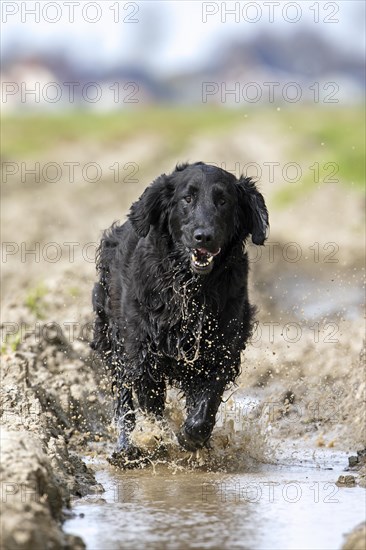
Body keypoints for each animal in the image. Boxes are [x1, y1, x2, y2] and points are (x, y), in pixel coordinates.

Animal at [91, 162, 268, 464]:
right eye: (187, 198)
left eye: (223, 201)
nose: (204, 236)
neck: (189, 287)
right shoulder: (142, 354)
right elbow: (151, 407)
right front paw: (157, 440)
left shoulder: (221, 350)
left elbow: (205, 407)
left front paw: (193, 438)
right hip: (112, 338)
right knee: (124, 400)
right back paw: (126, 449)